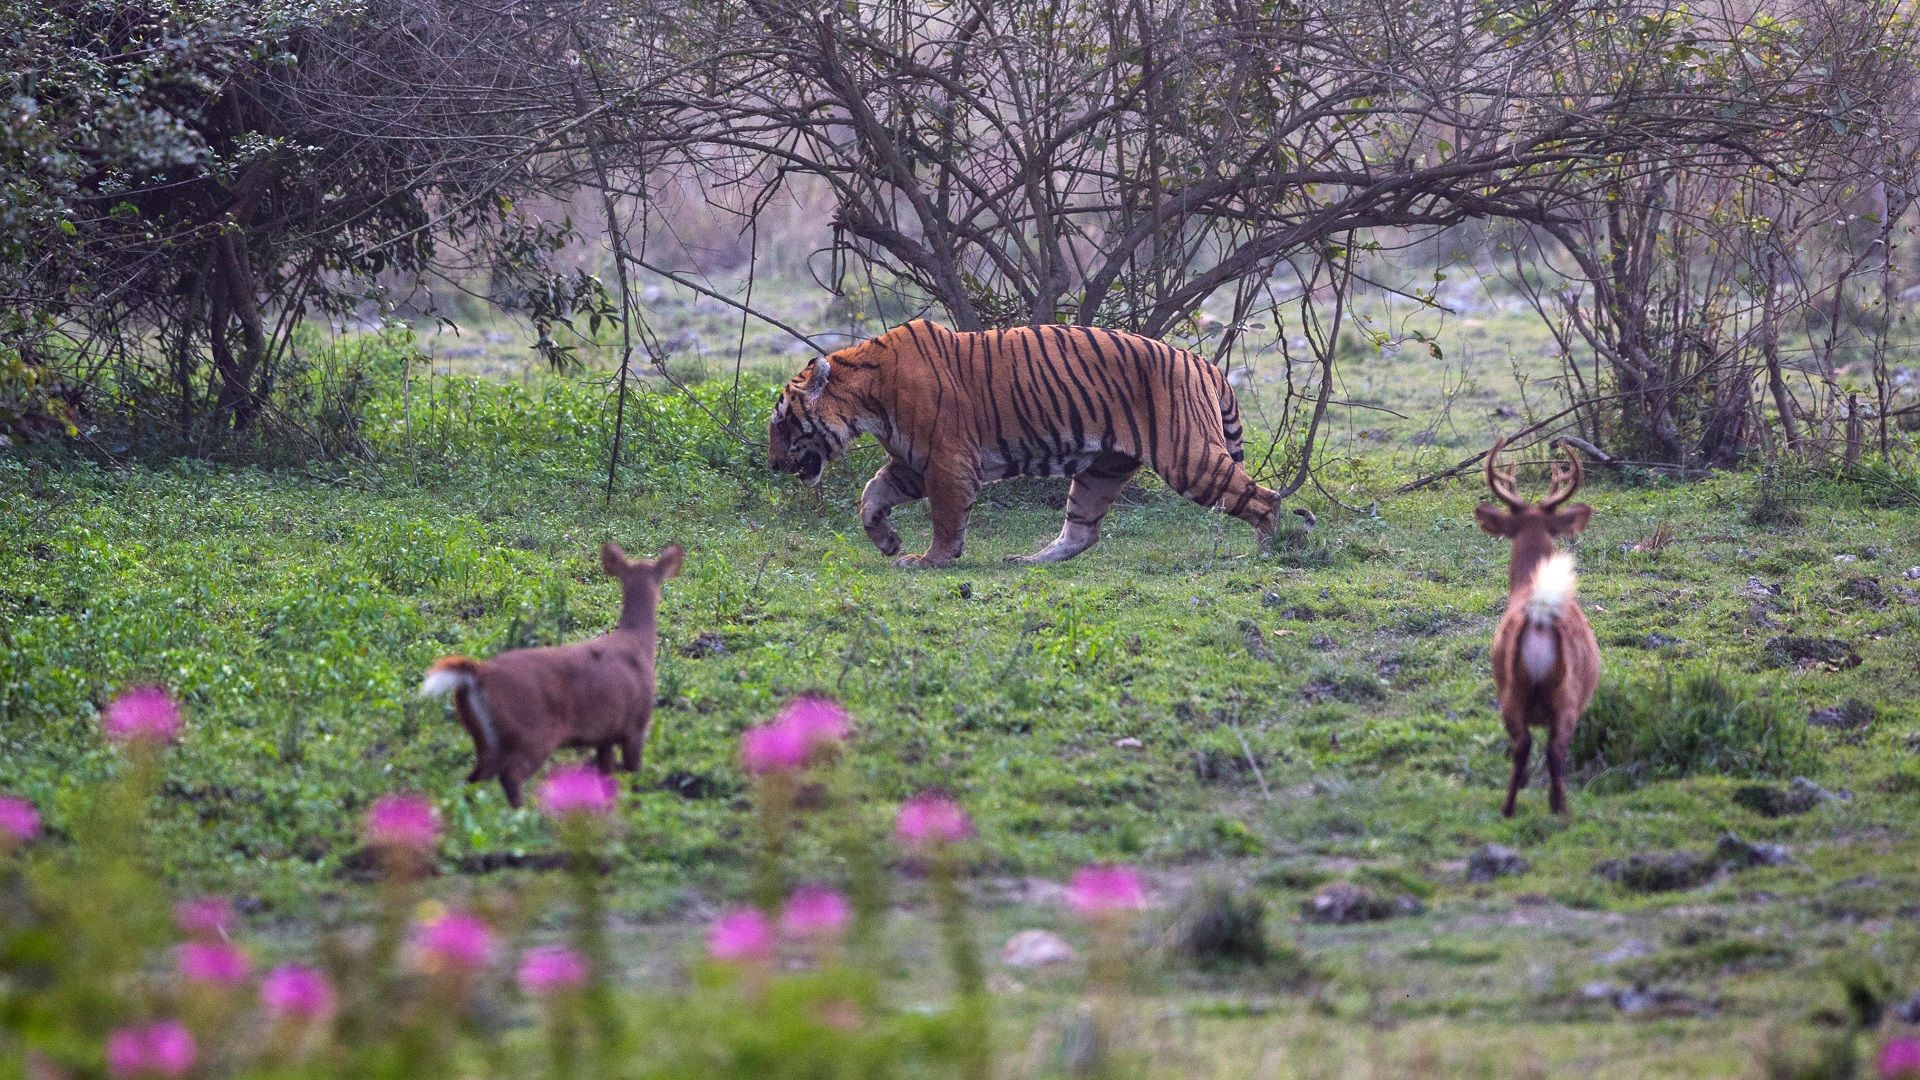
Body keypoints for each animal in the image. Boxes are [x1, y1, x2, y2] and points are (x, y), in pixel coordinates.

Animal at [420, 541, 683, 803]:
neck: (638, 642)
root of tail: (478, 673)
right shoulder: (636, 724)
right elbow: (634, 779)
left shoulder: (605, 735)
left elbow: (607, 779)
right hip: (533, 731)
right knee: (510, 775)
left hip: (488, 739)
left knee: (472, 780)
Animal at [771, 317, 1313, 564]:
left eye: (782, 423)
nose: (774, 464)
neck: (865, 395)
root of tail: (1200, 361)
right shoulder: (912, 462)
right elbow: (871, 494)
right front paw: (887, 542)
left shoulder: (946, 462)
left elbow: (945, 519)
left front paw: (930, 560)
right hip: (1102, 469)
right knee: (1082, 531)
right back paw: (1029, 559)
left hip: (1190, 458)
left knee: (1263, 498)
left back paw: (1264, 552)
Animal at [1474, 438, 1597, 814]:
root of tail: (1540, 618)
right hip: (1565, 698)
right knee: (1551, 751)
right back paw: (1560, 810)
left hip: (1509, 694)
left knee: (1522, 746)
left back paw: (1509, 808)